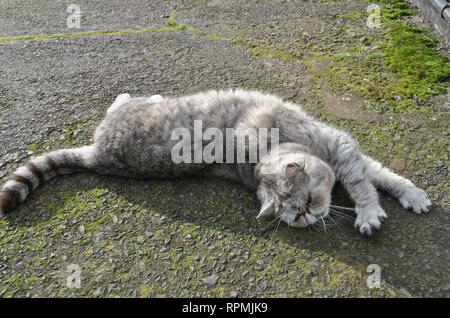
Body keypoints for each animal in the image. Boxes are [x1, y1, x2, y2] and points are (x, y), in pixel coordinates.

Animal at [0, 88, 432, 235]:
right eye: (297, 215)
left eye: (307, 203)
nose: (310, 216)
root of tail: (99, 155)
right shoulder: (340, 150)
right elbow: (367, 180)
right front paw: (372, 210)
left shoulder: (342, 149)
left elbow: (373, 180)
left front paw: (401, 197)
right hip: (125, 116)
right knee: (120, 103)